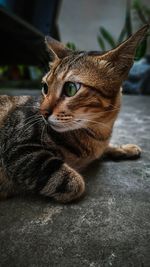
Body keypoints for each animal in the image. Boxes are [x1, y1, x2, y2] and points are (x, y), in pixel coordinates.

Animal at [0, 25, 148, 203]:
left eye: (71, 88)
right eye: (45, 87)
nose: (42, 112)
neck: (98, 134)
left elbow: (105, 149)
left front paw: (124, 148)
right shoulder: (20, 150)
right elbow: (75, 183)